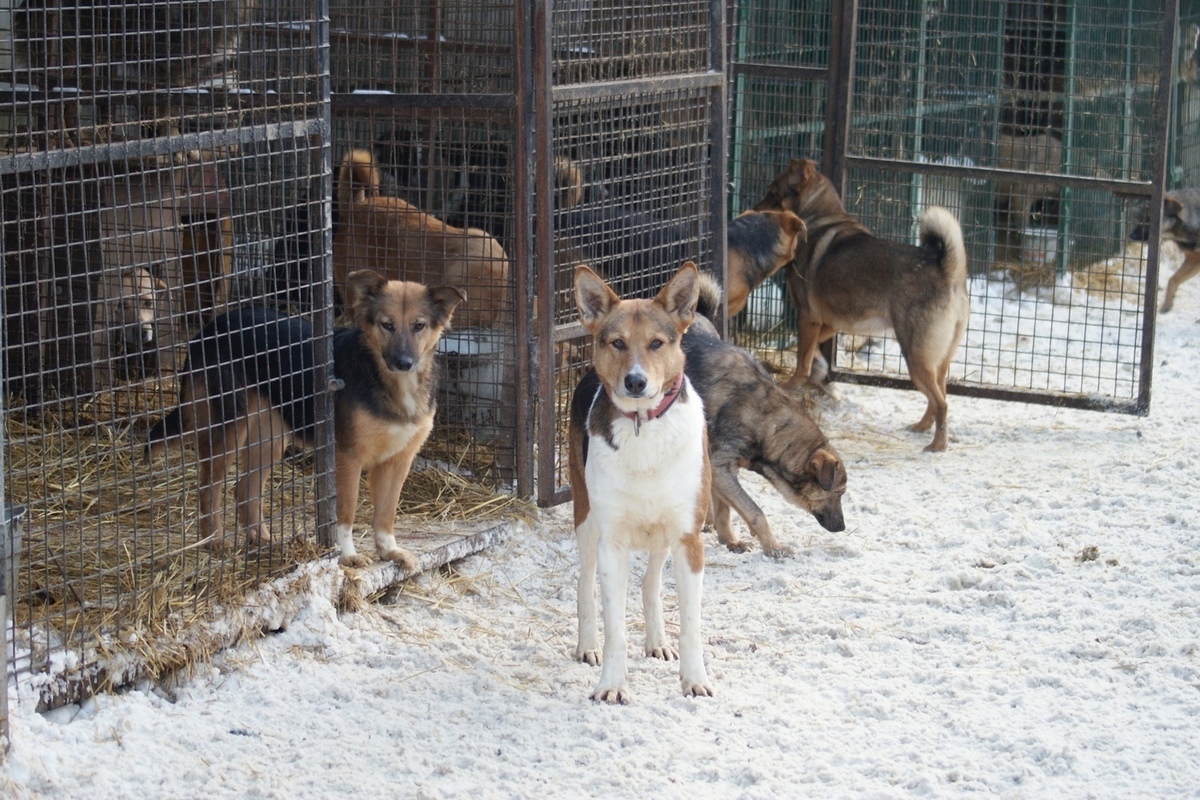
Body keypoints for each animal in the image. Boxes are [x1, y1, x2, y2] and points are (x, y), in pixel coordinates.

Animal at [147, 267, 465, 563]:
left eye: (418, 326)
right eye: (387, 325)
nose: (404, 363)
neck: (388, 381)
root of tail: (209, 329)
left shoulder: (398, 460)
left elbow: (386, 514)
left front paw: (389, 551)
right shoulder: (347, 457)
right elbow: (344, 513)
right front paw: (346, 555)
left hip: (270, 439)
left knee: (244, 490)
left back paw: (262, 540)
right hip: (228, 430)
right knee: (208, 489)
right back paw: (213, 541)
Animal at [564, 263, 710, 705]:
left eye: (657, 343)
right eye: (617, 343)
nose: (635, 382)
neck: (643, 425)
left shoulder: (688, 537)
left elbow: (691, 623)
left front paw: (694, 680)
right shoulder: (612, 541)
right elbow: (615, 629)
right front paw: (611, 684)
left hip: (662, 534)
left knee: (651, 583)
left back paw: (658, 641)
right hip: (585, 517)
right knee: (585, 583)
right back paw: (587, 645)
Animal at [681, 275, 849, 556]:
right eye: (838, 493)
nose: (842, 528)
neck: (766, 421)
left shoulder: (721, 469)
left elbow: (725, 510)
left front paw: (730, 540)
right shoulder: (721, 467)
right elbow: (755, 511)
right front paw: (774, 547)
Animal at [753, 158, 969, 450]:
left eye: (773, 192)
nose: (753, 212)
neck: (817, 217)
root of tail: (947, 272)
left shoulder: (807, 316)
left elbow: (801, 359)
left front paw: (790, 385)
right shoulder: (829, 323)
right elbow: (811, 350)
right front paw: (817, 369)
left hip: (916, 357)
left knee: (942, 403)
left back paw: (937, 445)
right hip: (937, 361)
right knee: (939, 398)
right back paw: (921, 427)